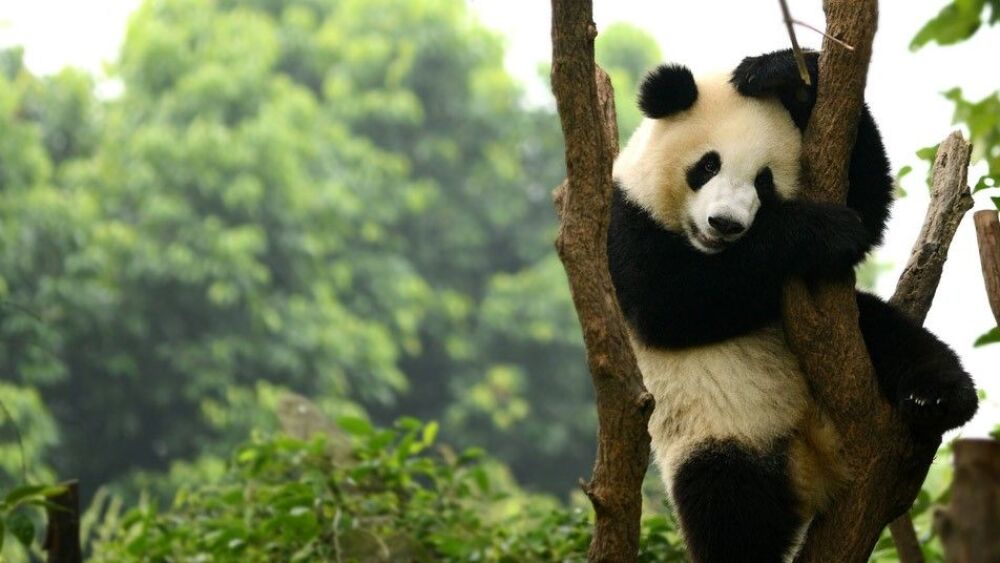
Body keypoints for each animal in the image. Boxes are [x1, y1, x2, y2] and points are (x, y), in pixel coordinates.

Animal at [607, 50, 978, 562]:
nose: (725, 224)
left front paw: (783, 73)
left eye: (764, 182)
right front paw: (819, 230)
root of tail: (814, 466)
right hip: (717, 434)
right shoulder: (623, 220)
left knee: (894, 335)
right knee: (727, 507)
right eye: (707, 165)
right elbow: (668, 302)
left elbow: (869, 199)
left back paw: (939, 397)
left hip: (861, 343)